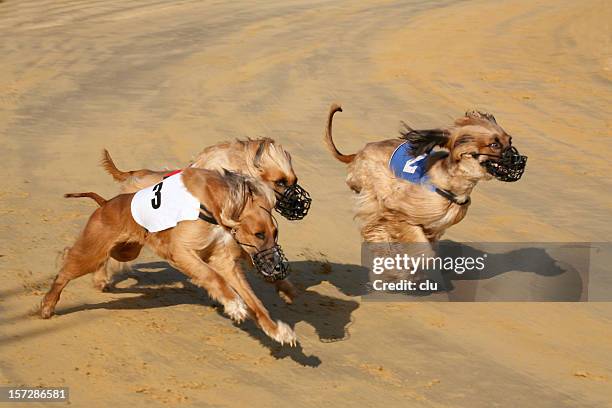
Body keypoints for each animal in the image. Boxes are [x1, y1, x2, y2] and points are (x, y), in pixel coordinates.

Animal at [39, 167, 298, 346]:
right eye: (258, 234)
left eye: (275, 233)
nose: (276, 268)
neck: (214, 204)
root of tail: (106, 203)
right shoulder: (181, 251)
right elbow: (212, 277)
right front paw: (234, 306)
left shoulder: (223, 260)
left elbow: (255, 302)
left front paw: (278, 331)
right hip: (94, 249)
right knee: (66, 269)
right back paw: (47, 306)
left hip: (124, 249)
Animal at [322, 103, 528, 247]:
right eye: (494, 144)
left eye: (510, 141)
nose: (521, 160)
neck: (452, 186)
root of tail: (359, 152)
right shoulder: (398, 209)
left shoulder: (434, 228)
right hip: (370, 183)